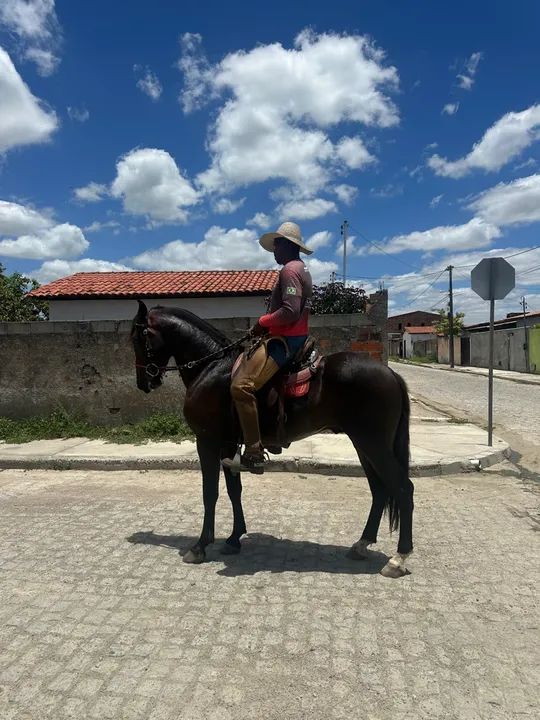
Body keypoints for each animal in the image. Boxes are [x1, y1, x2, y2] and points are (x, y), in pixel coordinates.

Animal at [131, 301, 414, 578]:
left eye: (137, 337)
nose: (144, 383)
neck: (210, 367)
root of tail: (391, 375)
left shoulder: (207, 441)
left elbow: (209, 492)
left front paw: (200, 546)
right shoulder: (227, 445)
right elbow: (234, 491)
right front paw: (233, 539)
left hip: (374, 445)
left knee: (402, 488)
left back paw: (398, 558)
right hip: (363, 445)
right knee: (379, 490)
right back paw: (362, 544)